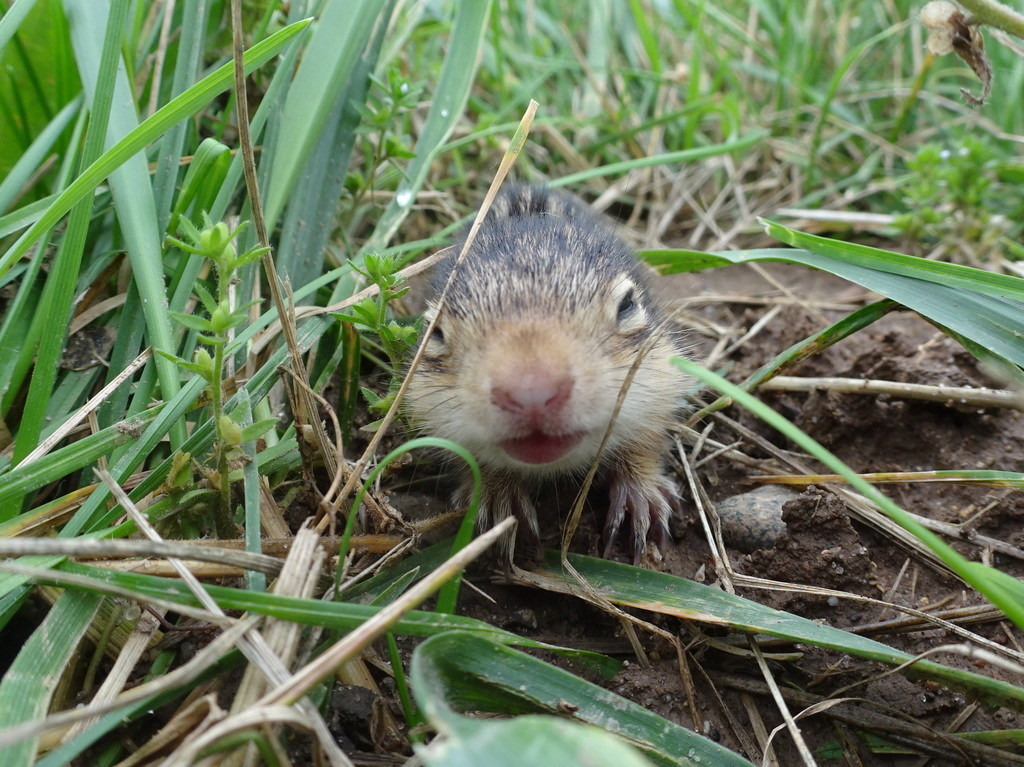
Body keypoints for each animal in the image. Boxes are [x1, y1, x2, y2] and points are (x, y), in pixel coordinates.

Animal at [405, 185, 690, 564]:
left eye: (627, 305)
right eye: (435, 333)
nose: (532, 394)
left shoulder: (660, 379)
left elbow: (646, 440)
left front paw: (639, 494)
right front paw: (498, 499)